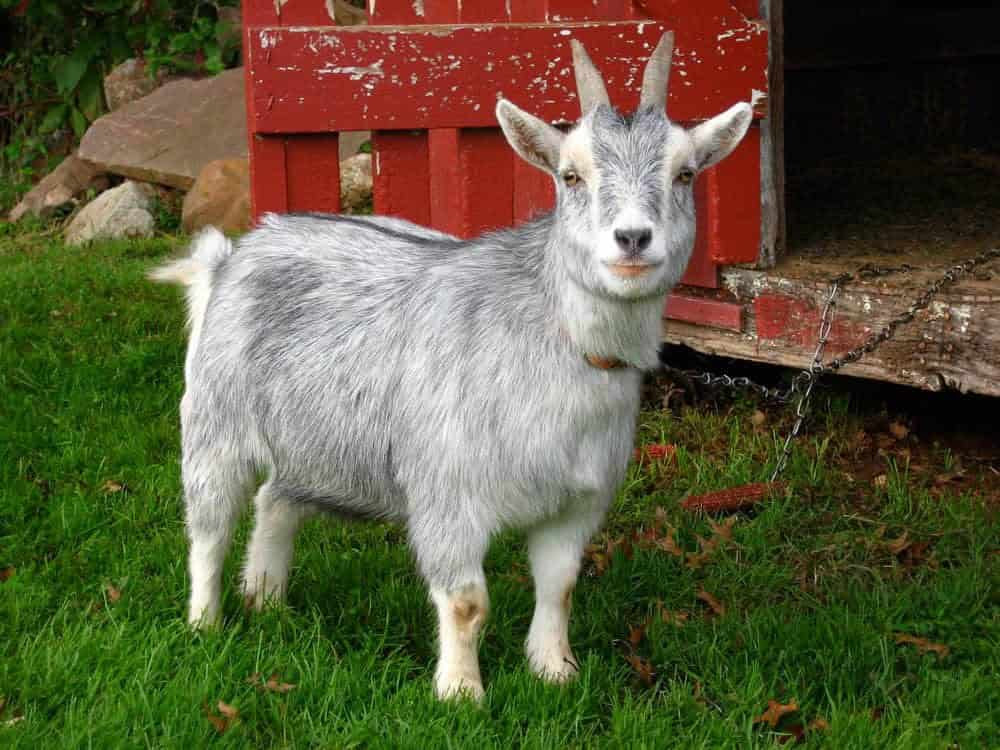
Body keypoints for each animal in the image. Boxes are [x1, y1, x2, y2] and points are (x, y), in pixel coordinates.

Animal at [152, 33, 752, 704]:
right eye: (570, 174)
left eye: (685, 172)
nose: (632, 239)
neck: (552, 342)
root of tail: (233, 255)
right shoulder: (448, 494)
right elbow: (466, 602)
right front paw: (462, 695)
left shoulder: (578, 501)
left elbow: (560, 585)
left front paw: (555, 671)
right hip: (214, 421)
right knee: (209, 525)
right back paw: (205, 623)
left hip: (318, 442)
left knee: (277, 498)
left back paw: (267, 600)